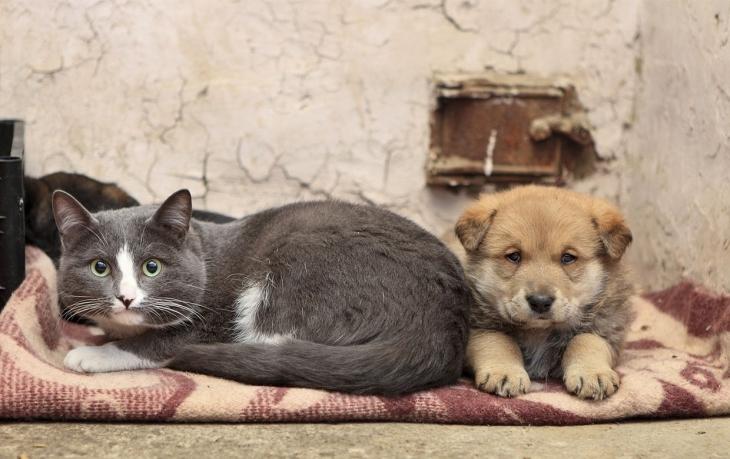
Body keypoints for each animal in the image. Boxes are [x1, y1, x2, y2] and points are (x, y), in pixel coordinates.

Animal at [54, 190, 470, 396]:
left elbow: (159, 343)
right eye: (100, 267)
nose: (126, 297)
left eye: (151, 267)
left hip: (303, 262)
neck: (204, 253)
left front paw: (92, 354)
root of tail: (440, 327)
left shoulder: (208, 321)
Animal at [444, 185, 632, 400]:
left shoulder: (608, 330)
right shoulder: (476, 329)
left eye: (568, 258)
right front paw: (505, 372)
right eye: (513, 256)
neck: (538, 332)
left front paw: (593, 373)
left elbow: (586, 341)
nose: (540, 302)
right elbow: (498, 342)